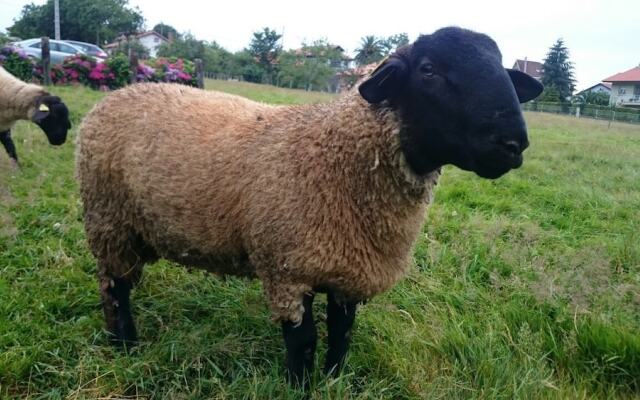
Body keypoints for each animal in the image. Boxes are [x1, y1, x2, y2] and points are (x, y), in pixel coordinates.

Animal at [76, 26, 544, 386]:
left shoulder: (348, 270)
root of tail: (124, 90)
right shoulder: (287, 270)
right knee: (114, 287)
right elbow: (302, 342)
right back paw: (125, 343)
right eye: (428, 70)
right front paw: (301, 385)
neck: (336, 157)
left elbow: (341, 334)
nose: (513, 143)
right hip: (108, 220)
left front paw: (333, 379)